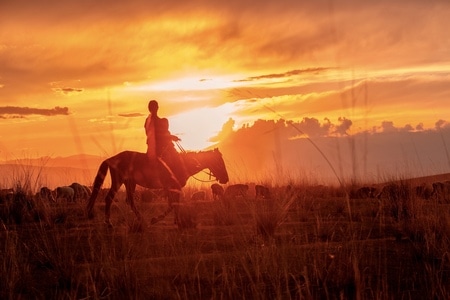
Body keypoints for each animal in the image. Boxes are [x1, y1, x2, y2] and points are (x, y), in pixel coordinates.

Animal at [86, 149, 230, 226]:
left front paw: (176, 221)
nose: (226, 178)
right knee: (109, 198)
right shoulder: (170, 187)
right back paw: (108, 222)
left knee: (130, 201)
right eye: (219, 162)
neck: (182, 163)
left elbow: (175, 204)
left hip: (129, 183)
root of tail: (111, 159)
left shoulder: (174, 187)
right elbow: (172, 204)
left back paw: (139, 218)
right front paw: (157, 219)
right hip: (118, 182)